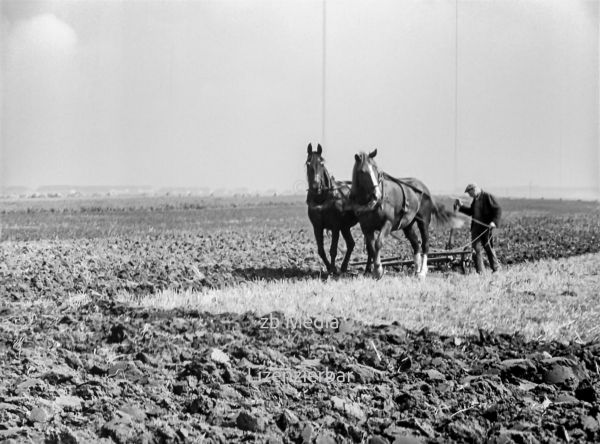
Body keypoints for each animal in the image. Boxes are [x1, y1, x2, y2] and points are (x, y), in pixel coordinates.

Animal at [308, 142, 358, 274]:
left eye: (322, 163)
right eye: (308, 163)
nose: (315, 186)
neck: (322, 199)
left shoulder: (335, 226)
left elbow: (333, 250)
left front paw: (333, 269)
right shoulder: (317, 226)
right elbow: (321, 250)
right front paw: (330, 268)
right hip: (345, 227)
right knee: (351, 244)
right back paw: (344, 267)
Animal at [350, 150, 458, 280]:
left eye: (376, 169)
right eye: (362, 171)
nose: (377, 195)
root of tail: (424, 188)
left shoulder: (387, 223)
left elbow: (378, 243)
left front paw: (379, 270)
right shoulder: (366, 228)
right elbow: (371, 248)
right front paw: (372, 271)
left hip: (423, 221)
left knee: (425, 244)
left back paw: (422, 272)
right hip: (408, 225)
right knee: (416, 244)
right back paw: (416, 270)